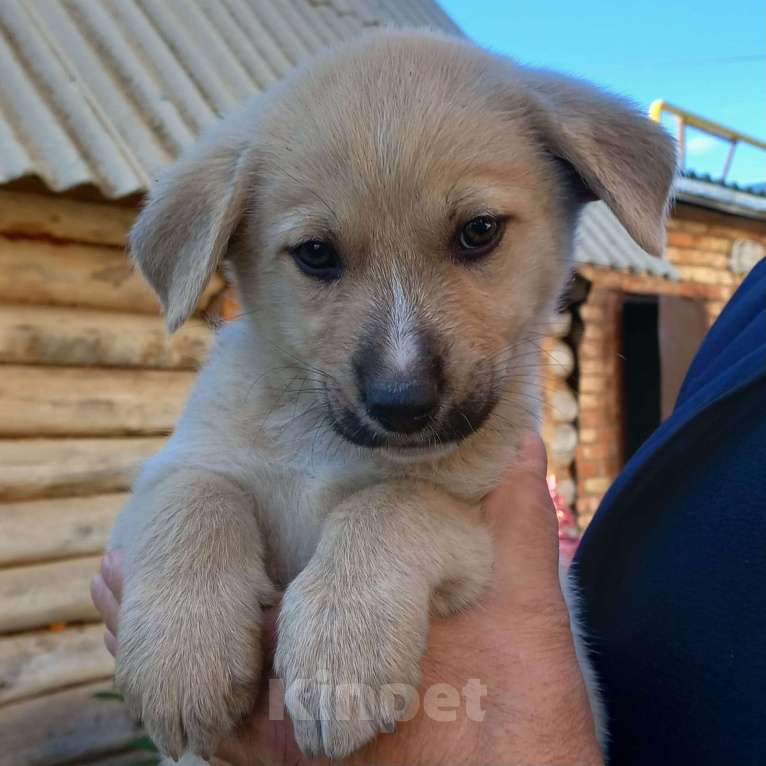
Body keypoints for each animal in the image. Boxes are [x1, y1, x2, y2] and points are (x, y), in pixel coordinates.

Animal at [111, 27, 676, 764]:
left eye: (479, 231)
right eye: (316, 254)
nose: (401, 403)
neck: (324, 446)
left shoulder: (473, 521)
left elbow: (390, 504)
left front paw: (340, 652)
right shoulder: (168, 472)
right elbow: (195, 495)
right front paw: (180, 654)